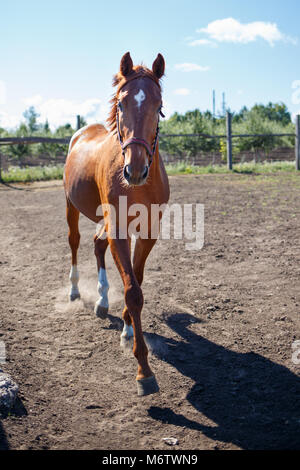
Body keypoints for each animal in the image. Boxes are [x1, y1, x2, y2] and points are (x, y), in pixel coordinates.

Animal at [63, 52, 169, 396]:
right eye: (122, 104)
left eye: (159, 105)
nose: (134, 170)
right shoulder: (120, 230)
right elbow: (133, 291)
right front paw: (144, 371)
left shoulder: (148, 232)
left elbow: (136, 280)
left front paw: (126, 327)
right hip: (71, 206)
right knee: (74, 242)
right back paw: (75, 291)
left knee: (97, 246)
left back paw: (102, 300)